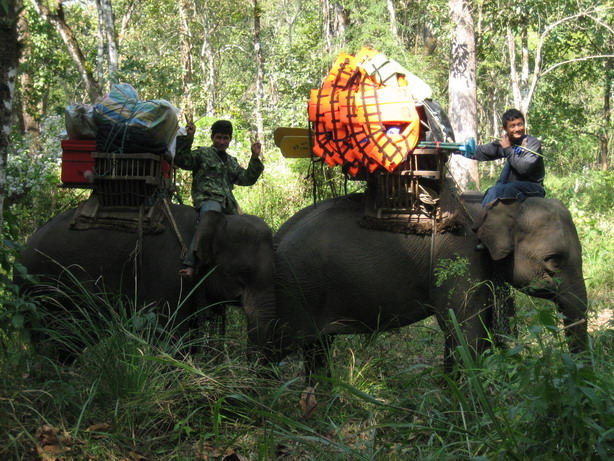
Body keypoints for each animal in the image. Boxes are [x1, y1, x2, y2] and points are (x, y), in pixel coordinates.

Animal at [268, 189, 588, 376]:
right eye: (553, 261)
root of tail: (277, 238)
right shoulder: (460, 257)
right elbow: (466, 331)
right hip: (294, 290)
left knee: (317, 349)